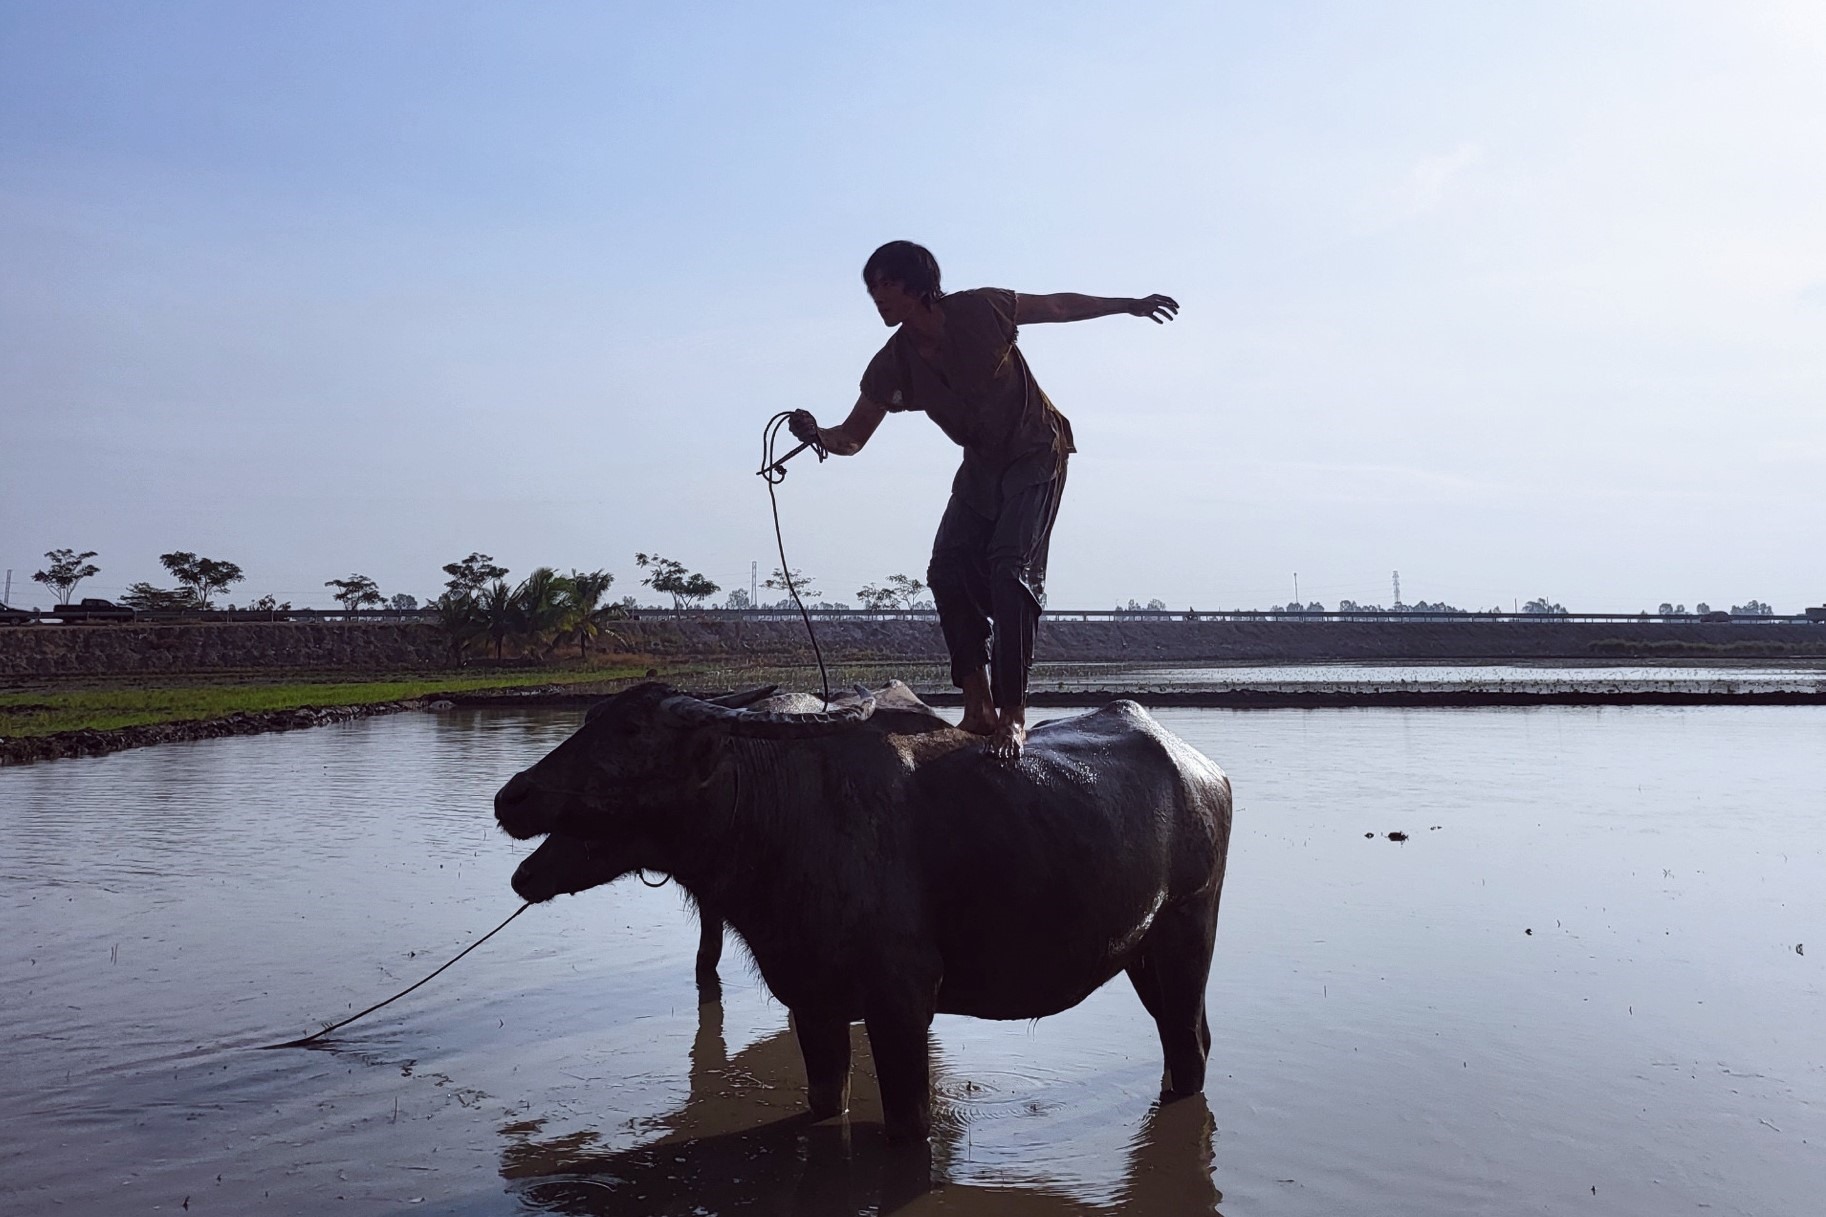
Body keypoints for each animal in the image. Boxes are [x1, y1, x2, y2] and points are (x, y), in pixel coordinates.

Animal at [493, 676, 1234, 1132]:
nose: (513, 796)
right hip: (1142, 952)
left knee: (1190, 1045)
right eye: (591, 720)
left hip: (1189, 932)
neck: (779, 818)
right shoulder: (812, 1001)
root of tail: (1204, 770)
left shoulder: (902, 1000)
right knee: (1186, 1038)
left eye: (633, 731)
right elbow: (825, 1102)